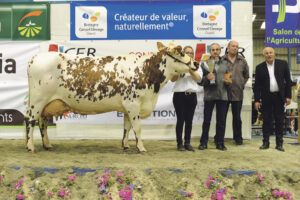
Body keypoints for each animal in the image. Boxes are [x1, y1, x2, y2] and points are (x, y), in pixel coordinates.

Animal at [25, 41, 199, 152]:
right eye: (181, 53)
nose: (196, 63)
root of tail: (35, 58)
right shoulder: (133, 103)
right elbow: (137, 127)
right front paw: (141, 147)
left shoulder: (127, 106)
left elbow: (127, 127)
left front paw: (125, 145)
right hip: (38, 100)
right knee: (30, 120)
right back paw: (30, 146)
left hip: (46, 103)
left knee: (42, 122)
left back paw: (46, 145)